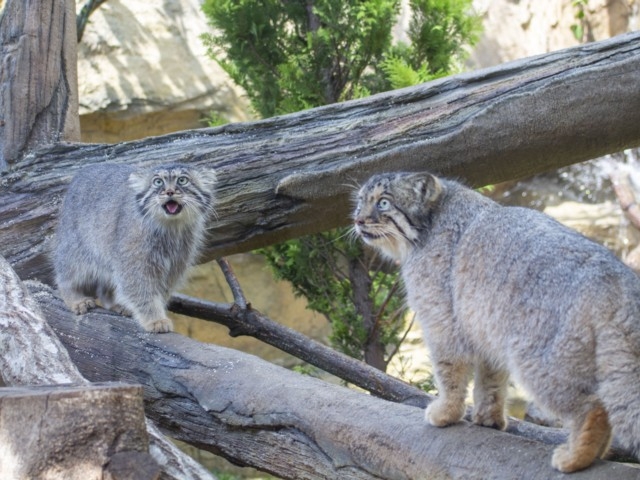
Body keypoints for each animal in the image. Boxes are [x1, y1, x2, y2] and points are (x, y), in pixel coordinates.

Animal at [52, 163, 218, 332]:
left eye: (182, 180)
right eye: (157, 182)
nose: (169, 192)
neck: (171, 228)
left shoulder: (175, 265)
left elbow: (161, 291)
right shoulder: (134, 263)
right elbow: (142, 291)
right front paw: (155, 320)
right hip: (75, 250)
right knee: (65, 276)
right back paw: (76, 299)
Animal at [352, 170, 640, 472]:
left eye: (383, 203)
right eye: (360, 201)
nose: (358, 219)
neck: (430, 226)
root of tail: (617, 279)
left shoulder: (443, 324)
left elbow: (449, 375)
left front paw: (446, 413)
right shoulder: (485, 328)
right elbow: (490, 380)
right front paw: (487, 419)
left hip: (538, 361)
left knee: (593, 407)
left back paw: (576, 457)